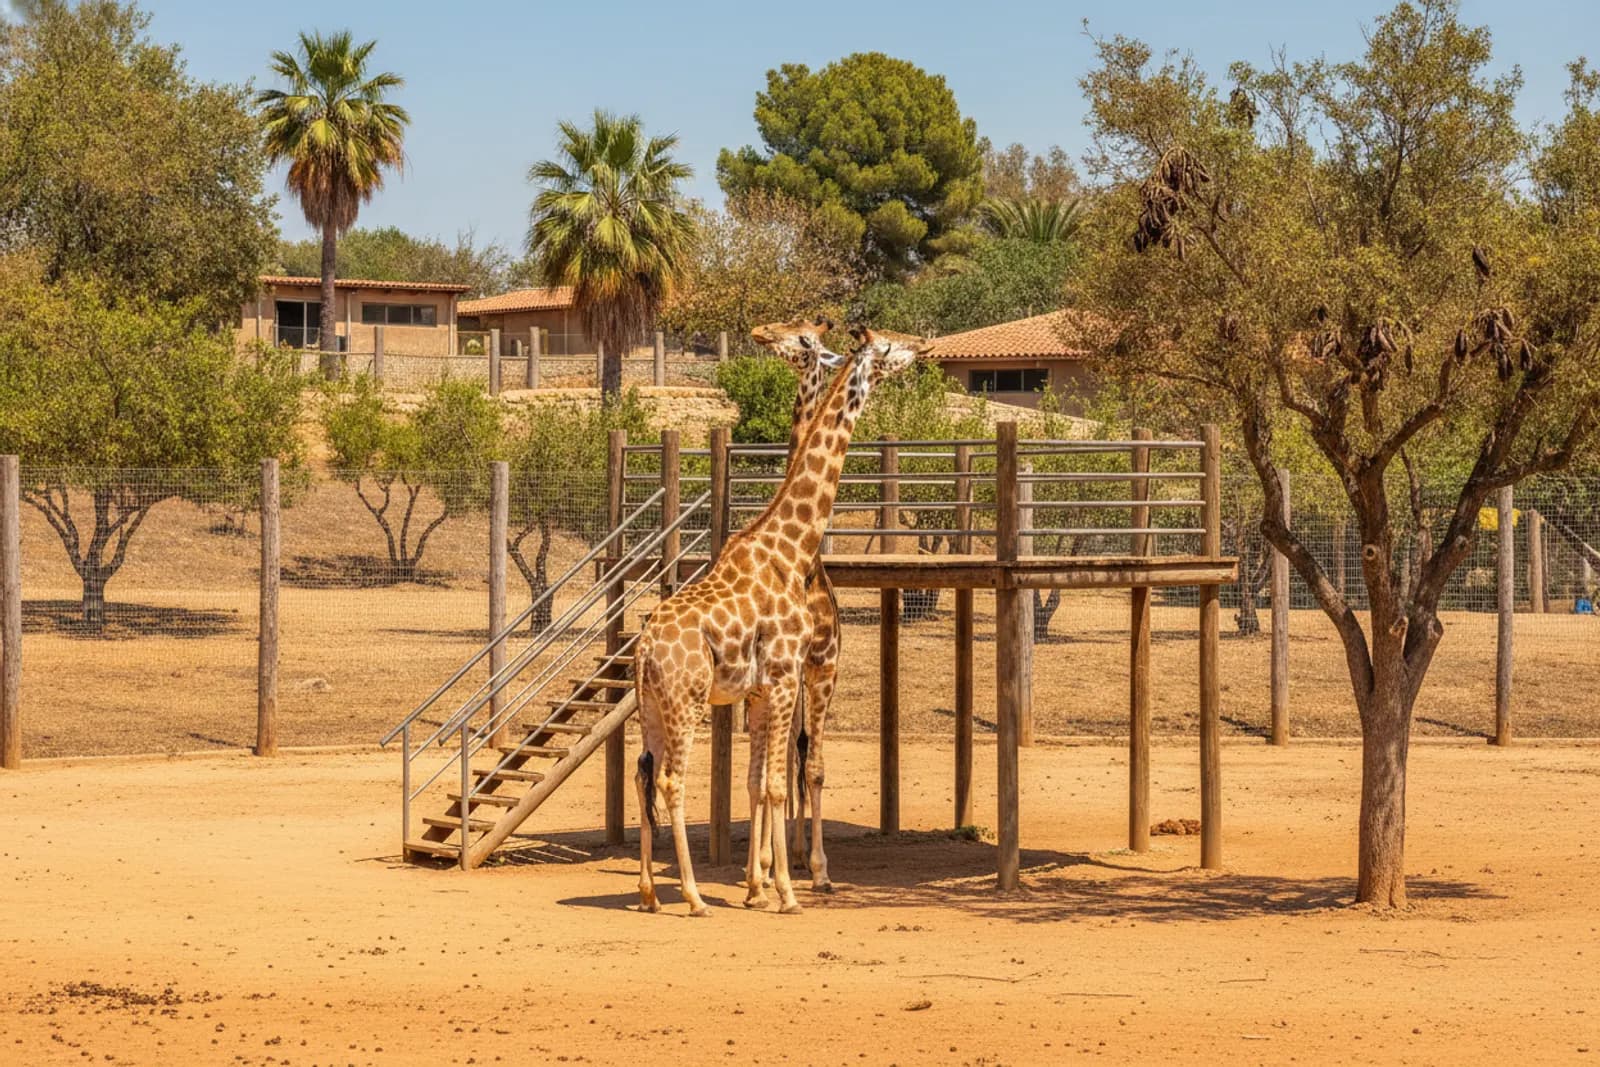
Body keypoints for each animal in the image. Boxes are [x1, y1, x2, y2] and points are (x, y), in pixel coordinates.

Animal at [633, 328, 931, 915]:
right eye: (890, 349)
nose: (926, 347)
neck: (792, 549)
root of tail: (642, 648)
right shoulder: (788, 675)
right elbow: (776, 782)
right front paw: (787, 890)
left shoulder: (763, 687)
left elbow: (762, 780)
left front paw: (759, 885)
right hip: (686, 702)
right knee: (674, 780)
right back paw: (695, 897)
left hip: (651, 706)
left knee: (644, 774)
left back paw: (652, 894)